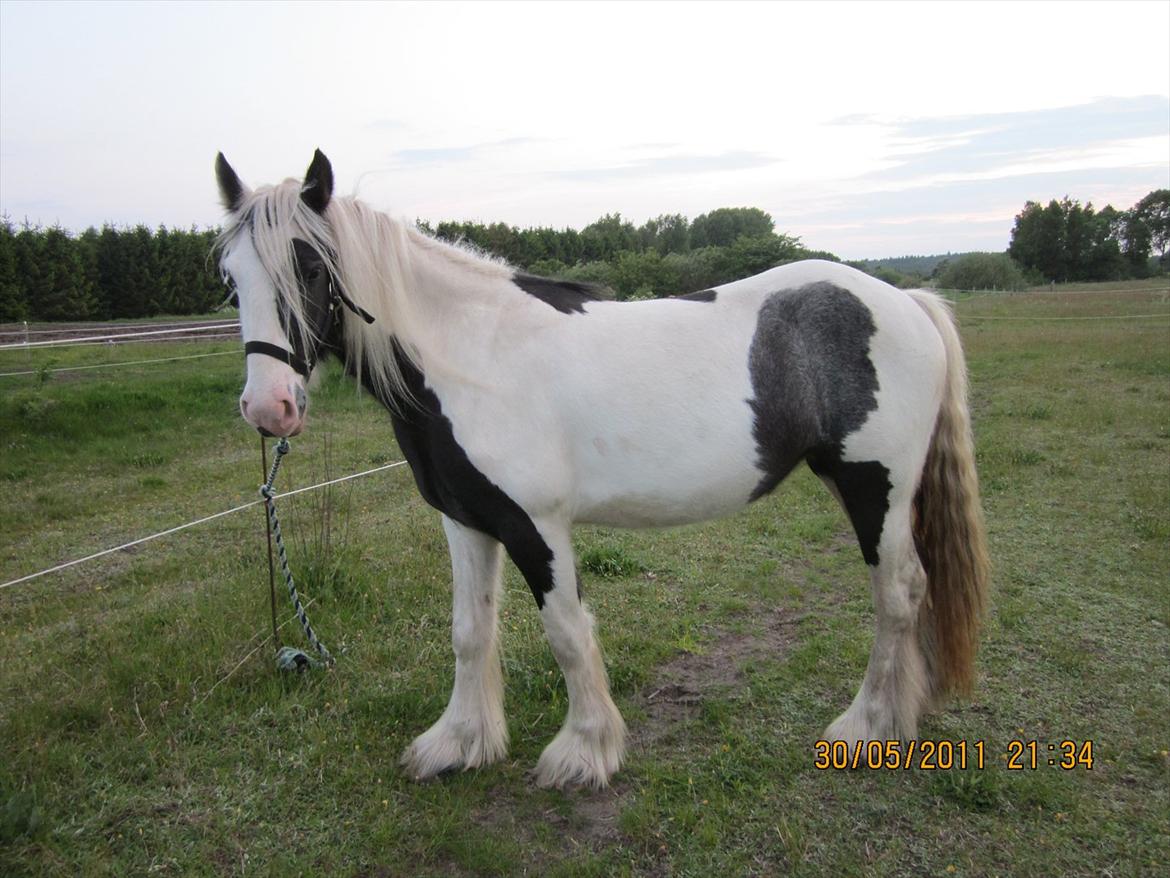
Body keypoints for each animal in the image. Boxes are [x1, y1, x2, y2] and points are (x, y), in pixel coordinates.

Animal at [212, 149, 987, 791]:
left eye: (311, 267)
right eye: (231, 278)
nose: (269, 407)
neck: (474, 356)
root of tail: (905, 301)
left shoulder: (537, 525)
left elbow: (566, 632)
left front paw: (584, 752)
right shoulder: (467, 521)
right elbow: (470, 632)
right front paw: (458, 743)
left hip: (875, 488)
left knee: (899, 594)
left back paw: (866, 728)